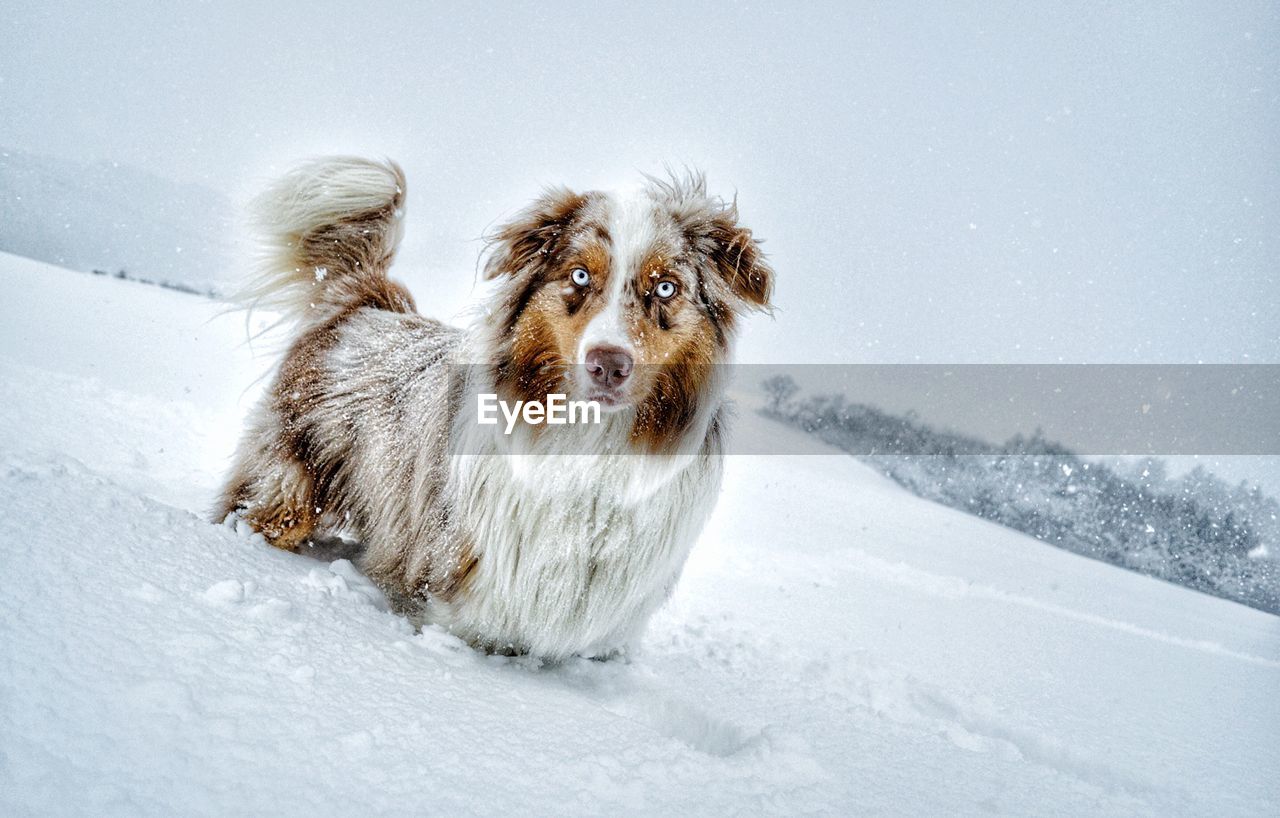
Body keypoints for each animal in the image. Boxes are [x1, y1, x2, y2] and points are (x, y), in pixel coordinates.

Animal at [216, 158, 773, 660]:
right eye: (579, 275)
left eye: (665, 287)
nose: (609, 365)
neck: (588, 446)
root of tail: (369, 304)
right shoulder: (451, 600)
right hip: (287, 486)